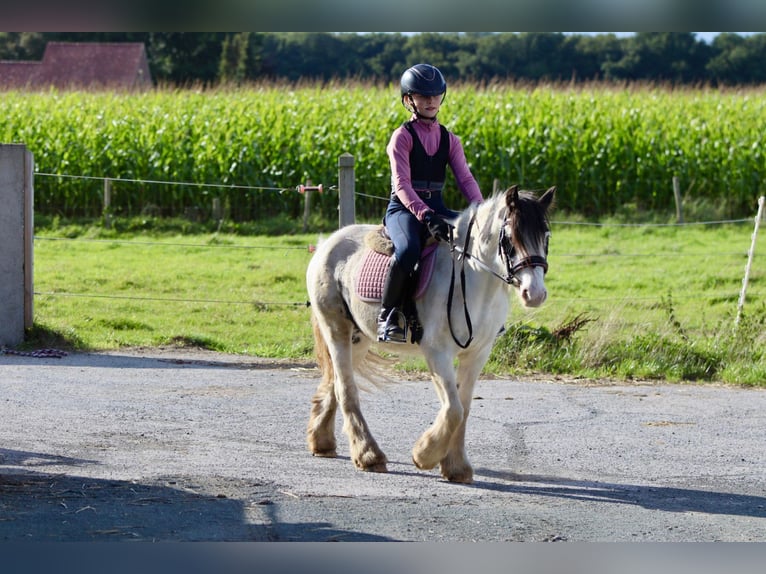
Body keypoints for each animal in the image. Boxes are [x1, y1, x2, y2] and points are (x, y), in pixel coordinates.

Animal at [306, 187, 560, 484]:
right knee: (346, 389)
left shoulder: (477, 354)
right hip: (336, 329)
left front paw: (455, 466)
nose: (535, 294)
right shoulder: (437, 352)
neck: (471, 279)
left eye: (546, 236)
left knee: (335, 383)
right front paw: (425, 455)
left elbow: (464, 408)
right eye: (509, 238)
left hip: (358, 339)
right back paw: (368, 455)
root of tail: (327, 243)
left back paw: (322, 441)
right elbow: (453, 410)